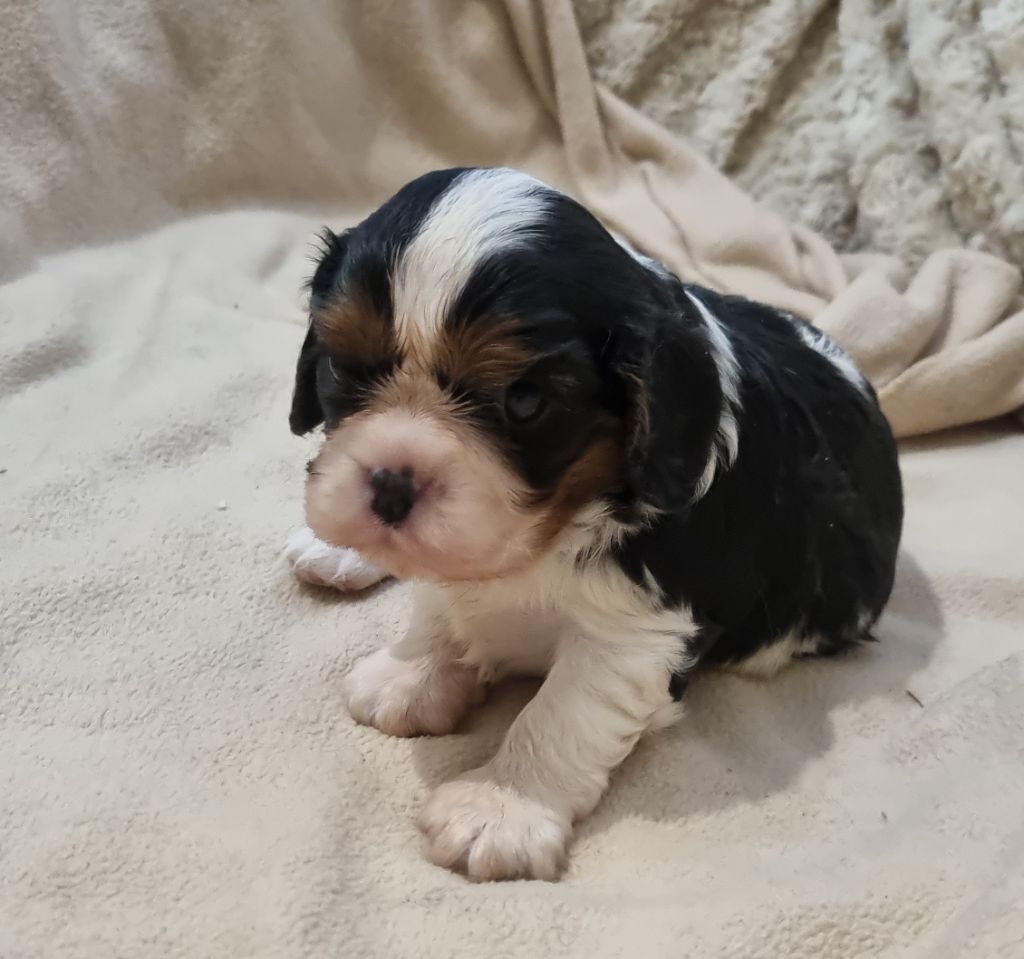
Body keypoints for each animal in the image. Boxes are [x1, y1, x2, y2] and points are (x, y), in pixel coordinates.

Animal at [286, 168, 905, 880]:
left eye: (526, 402)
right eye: (340, 367)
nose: (390, 483)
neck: (558, 525)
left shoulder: (634, 635)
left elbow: (560, 714)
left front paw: (499, 808)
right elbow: (438, 609)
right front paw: (409, 677)